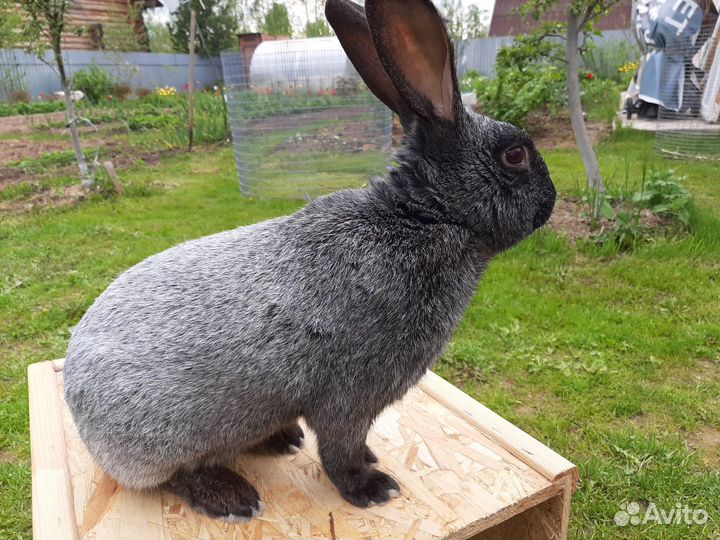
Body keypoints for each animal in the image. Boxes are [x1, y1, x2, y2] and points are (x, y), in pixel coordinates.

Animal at [63, 0, 556, 523]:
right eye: (515, 155)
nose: (551, 200)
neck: (425, 216)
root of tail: (78, 409)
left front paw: (371, 464)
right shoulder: (351, 397)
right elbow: (340, 449)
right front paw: (371, 487)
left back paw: (281, 440)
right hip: (165, 439)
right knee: (179, 475)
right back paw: (235, 498)